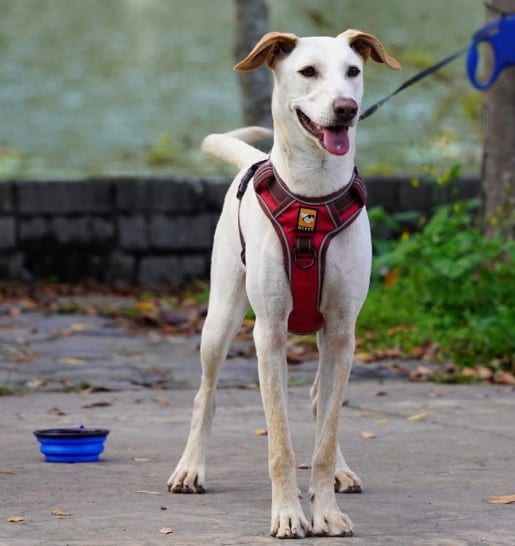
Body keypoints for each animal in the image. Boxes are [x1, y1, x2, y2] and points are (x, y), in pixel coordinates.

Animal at [167, 28, 402, 536]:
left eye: (353, 72)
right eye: (308, 71)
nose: (345, 108)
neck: (312, 198)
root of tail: (254, 161)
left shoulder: (342, 331)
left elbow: (326, 434)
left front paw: (326, 508)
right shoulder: (269, 333)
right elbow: (280, 442)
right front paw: (290, 514)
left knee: (320, 400)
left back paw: (339, 472)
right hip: (220, 318)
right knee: (204, 395)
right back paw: (190, 468)